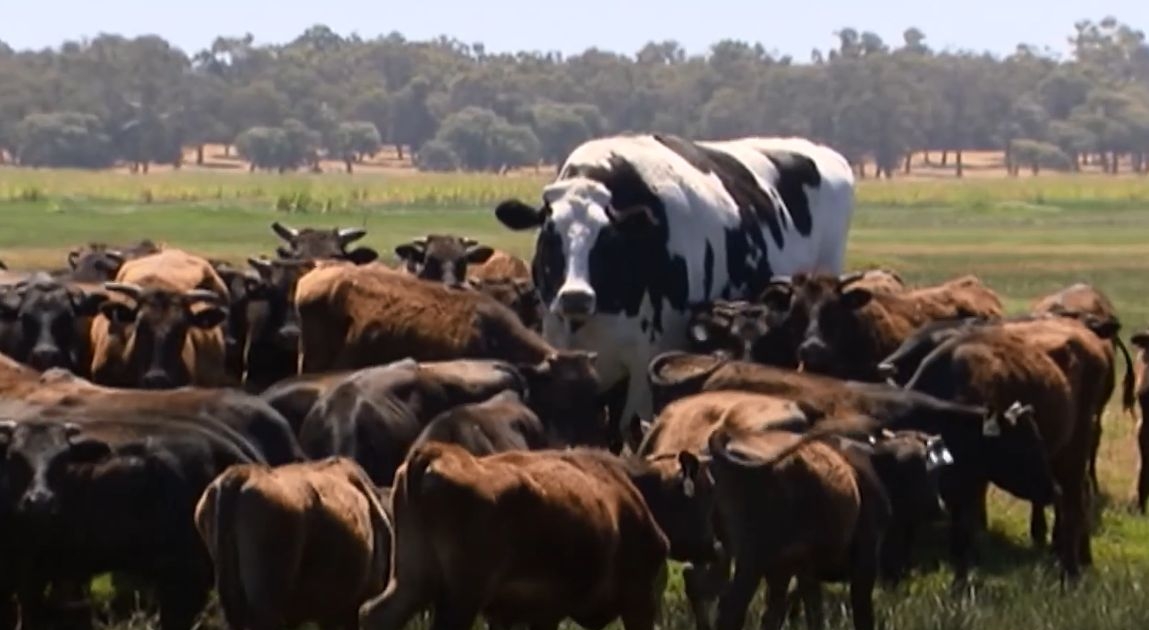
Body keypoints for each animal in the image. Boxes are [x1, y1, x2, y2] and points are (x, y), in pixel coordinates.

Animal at [357, 442, 715, 630]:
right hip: (462, 596)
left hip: (413, 579)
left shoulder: (525, 611)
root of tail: (432, 453)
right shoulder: (637, 597)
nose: (713, 546)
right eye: (704, 491)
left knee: (374, 613)